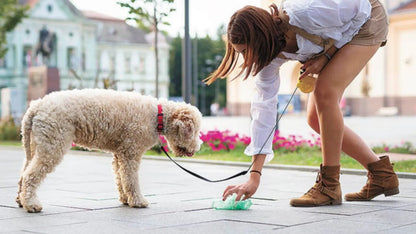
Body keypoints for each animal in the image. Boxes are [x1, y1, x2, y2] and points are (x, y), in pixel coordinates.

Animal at [16, 88, 203, 213]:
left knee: (23, 173)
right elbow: (131, 179)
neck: (157, 115)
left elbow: (121, 179)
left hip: (35, 144)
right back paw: (32, 205)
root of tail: (36, 106)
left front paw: (125, 199)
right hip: (53, 144)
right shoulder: (131, 152)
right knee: (30, 175)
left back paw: (21, 200)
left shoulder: (120, 154)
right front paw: (138, 201)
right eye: (195, 131)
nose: (197, 147)